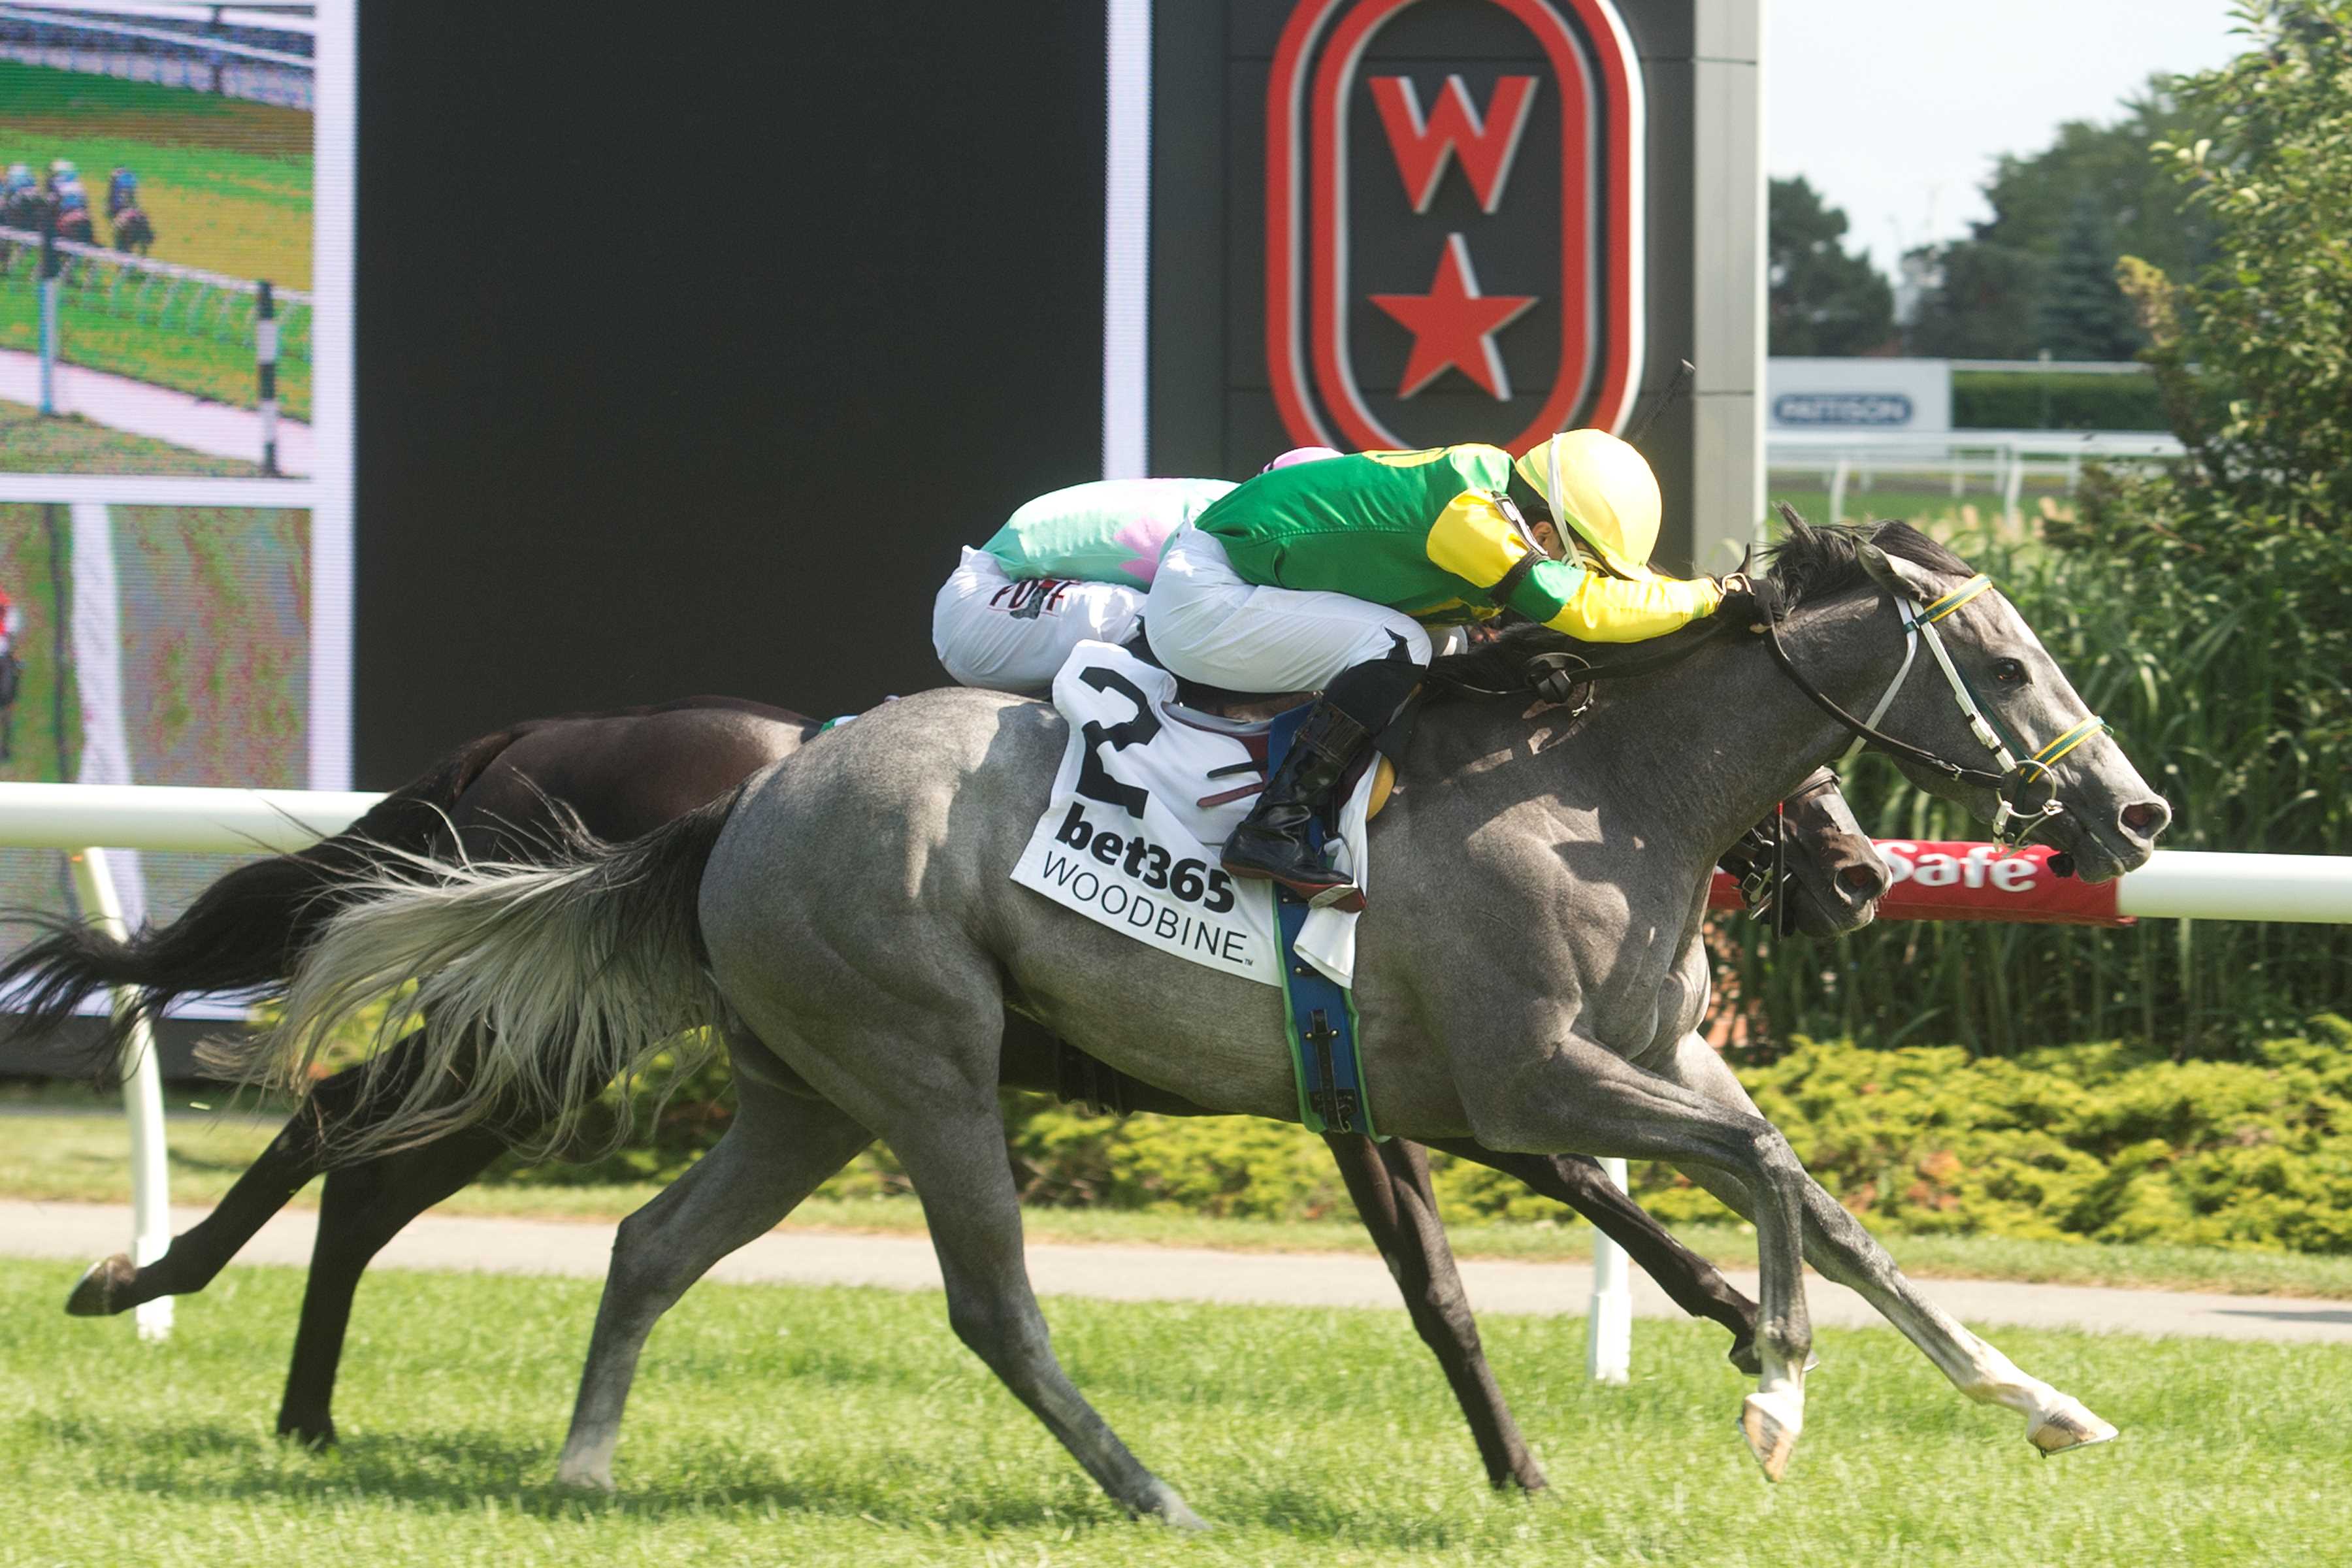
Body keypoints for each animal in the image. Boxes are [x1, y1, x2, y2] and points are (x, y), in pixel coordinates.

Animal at [0, 696, 1882, 1486]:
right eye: (1808, 769)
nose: (1863, 876)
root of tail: (519, 740)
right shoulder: (1372, 1074)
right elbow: (1451, 1276)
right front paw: (1546, 1453)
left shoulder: (1408, 1066)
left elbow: (1588, 1186)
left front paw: (1738, 1307)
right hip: (574, 1031)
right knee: (342, 1126)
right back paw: (159, 1294)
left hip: (586, 1046)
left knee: (379, 1163)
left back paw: (305, 1402)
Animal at [243, 521, 2164, 1523]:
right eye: (2006, 667)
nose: (2134, 815)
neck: (1598, 786)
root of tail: (753, 797)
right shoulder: (1526, 1079)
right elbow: (1757, 1175)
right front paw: (1770, 1387)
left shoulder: (1628, 1061)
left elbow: (1821, 1202)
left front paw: (2040, 1396)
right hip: (925, 1065)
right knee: (990, 1302)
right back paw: (1155, 1490)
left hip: (811, 1087)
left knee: (650, 1242)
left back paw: (581, 1464)